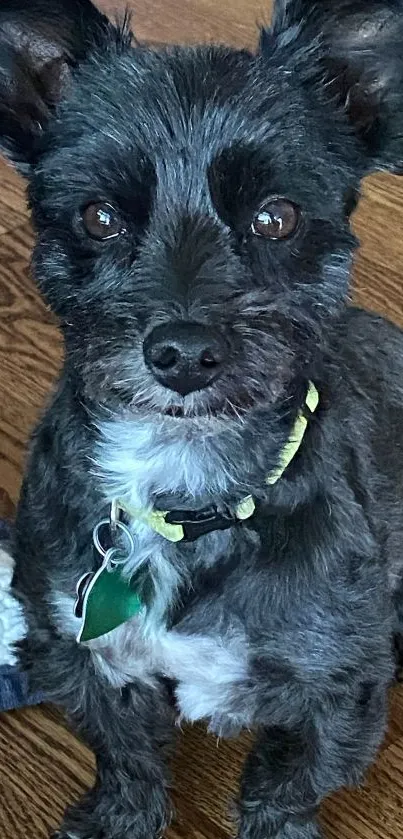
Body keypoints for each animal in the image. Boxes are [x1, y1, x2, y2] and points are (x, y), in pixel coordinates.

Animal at [0, 0, 403, 836]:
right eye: (99, 216)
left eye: (276, 217)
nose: (184, 353)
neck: (184, 484)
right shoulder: (75, 646)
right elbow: (122, 752)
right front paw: (117, 817)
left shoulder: (336, 685)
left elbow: (287, 783)